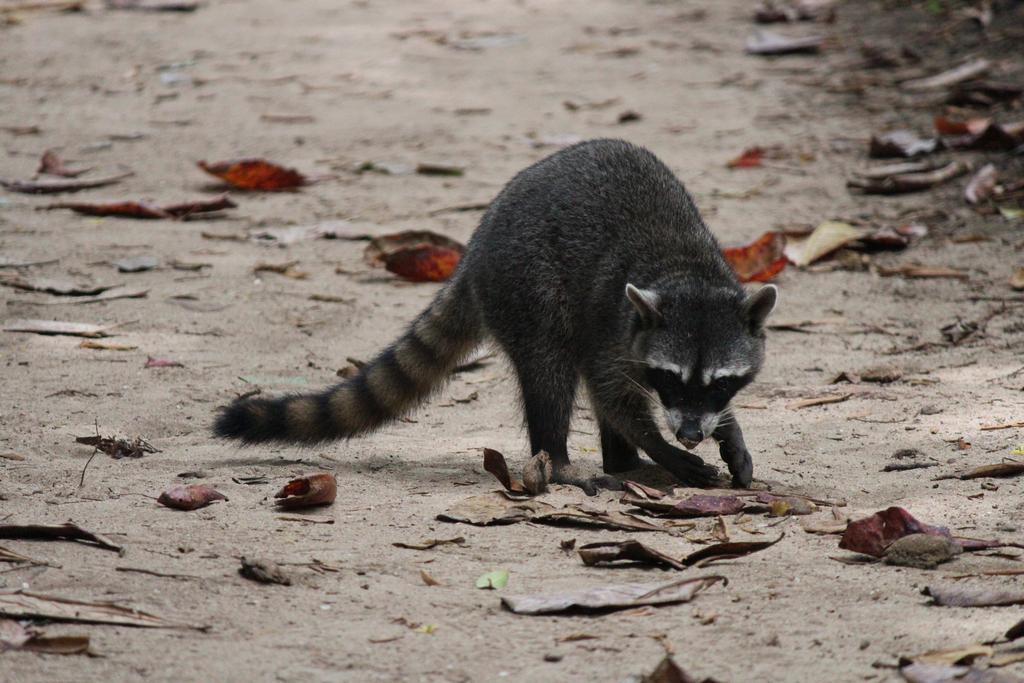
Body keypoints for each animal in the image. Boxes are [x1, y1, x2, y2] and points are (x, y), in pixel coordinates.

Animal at [216, 140, 774, 491]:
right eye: (672, 379)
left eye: (721, 383)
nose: (690, 435)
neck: (686, 272)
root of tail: (475, 247)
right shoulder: (612, 324)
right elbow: (612, 394)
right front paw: (659, 445)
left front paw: (728, 431)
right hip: (527, 288)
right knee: (550, 371)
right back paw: (565, 462)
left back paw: (622, 461)